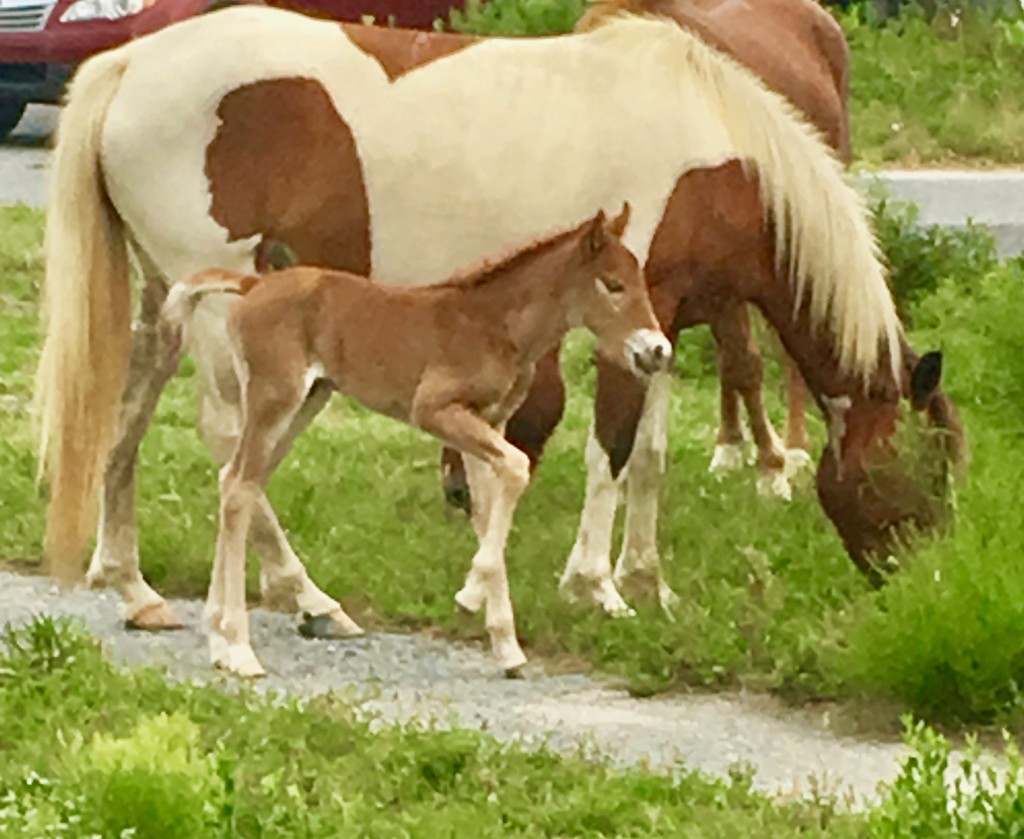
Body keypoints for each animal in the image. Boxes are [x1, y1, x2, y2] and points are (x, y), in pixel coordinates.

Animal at [160, 204, 671, 684]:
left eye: (640, 281)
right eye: (613, 284)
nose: (658, 350)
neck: (495, 324)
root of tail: (251, 286)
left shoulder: (489, 422)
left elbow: (490, 507)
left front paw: (507, 647)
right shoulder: (436, 410)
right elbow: (516, 469)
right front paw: (468, 597)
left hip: (307, 399)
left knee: (237, 481)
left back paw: (220, 643)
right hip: (275, 398)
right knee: (239, 485)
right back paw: (240, 650)